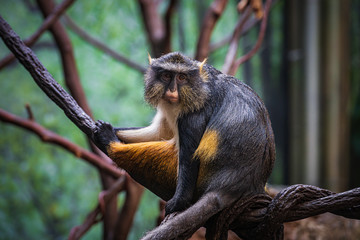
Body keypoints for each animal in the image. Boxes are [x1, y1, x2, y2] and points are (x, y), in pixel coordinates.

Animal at [91, 52, 274, 218]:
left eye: (181, 77)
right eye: (166, 76)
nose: (172, 90)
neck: (200, 86)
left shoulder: (193, 117)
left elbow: (188, 158)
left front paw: (178, 203)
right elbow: (159, 132)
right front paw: (108, 128)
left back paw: (110, 143)